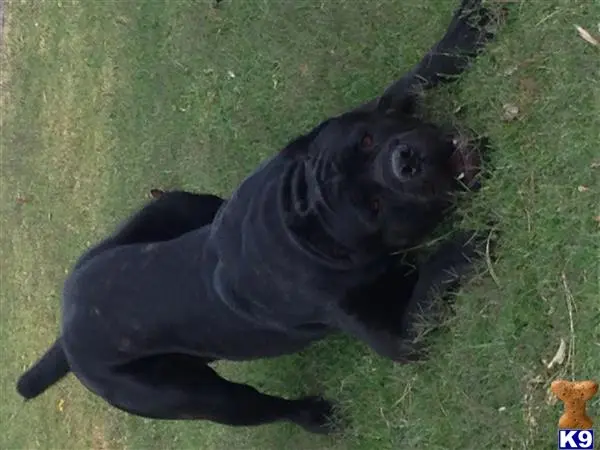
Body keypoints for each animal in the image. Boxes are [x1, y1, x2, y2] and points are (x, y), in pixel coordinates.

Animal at [17, 0, 496, 436]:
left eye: (367, 139)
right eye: (371, 207)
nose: (405, 160)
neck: (302, 218)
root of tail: (67, 334)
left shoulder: (369, 110)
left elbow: (414, 77)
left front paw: (466, 30)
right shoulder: (397, 337)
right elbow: (427, 291)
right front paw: (463, 249)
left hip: (178, 205)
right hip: (198, 397)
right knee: (255, 405)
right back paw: (314, 417)